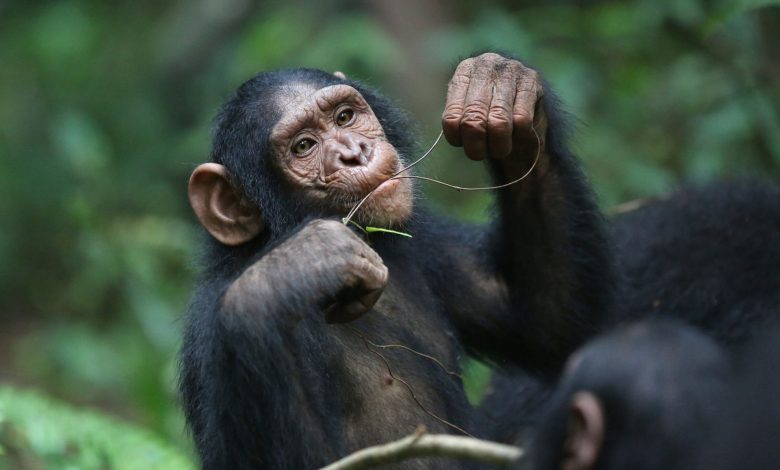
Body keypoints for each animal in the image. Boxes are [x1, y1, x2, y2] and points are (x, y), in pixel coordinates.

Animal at [180, 52, 612, 470]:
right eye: (303, 146)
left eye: (344, 117)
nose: (354, 153)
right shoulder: (209, 335)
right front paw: (292, 270)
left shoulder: (425, 241)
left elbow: (547, 323)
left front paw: (499, 86)